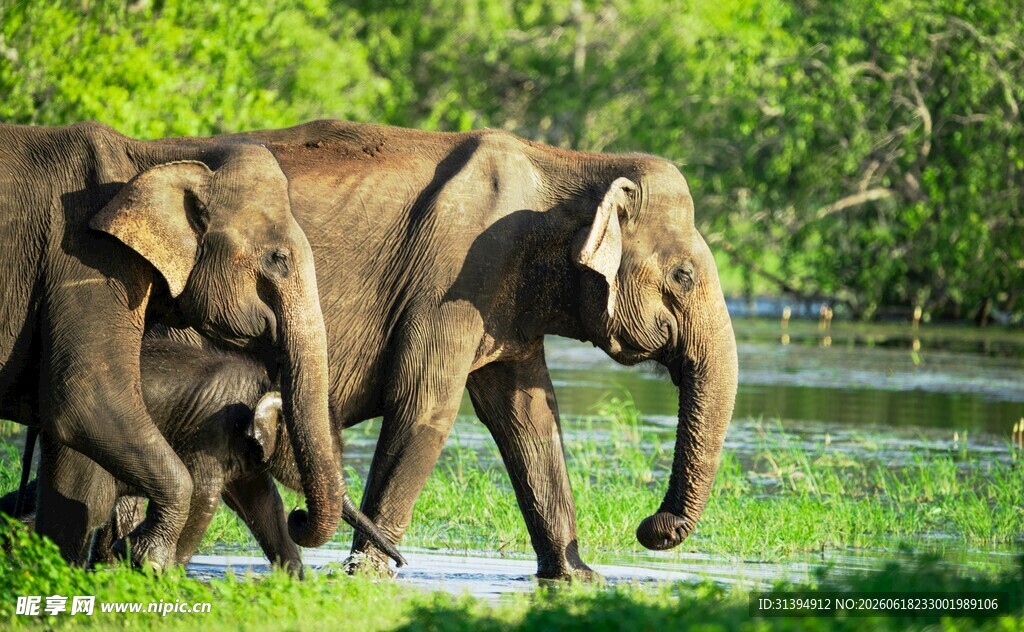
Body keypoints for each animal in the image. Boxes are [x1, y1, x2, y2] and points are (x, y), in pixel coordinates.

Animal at [0, 122, 351, 569]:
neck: (152, 156)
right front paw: (147, 560)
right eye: (278, 259)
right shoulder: (86, 260)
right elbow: (85, 401)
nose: (300, 515)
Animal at [2, 335, 406, 574]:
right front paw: (168, 577)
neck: (267, 384)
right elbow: (205, 494)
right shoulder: (210, 431)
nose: (401, 563)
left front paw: (296, 582)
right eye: (312, 456)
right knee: (93, 503)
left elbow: (263, 504)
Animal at [197, 121, 737, 580]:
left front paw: (578, 579)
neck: (571, 165)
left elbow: (529, 417)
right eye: (683, 276)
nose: (650, 526)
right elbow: (424, 405)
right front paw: (368, 576)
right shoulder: (457, 274)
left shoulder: (502, 299)